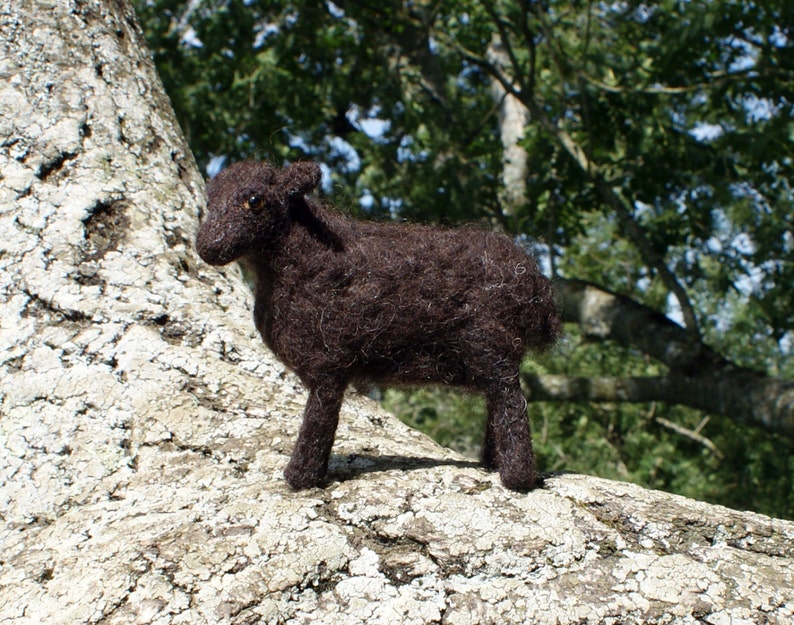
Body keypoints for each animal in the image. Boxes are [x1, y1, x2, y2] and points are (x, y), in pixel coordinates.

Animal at [195, 161, 561, 491]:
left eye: (254, 200)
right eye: (209, 201)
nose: (207, 247)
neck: (308, 260)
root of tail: (534, 281)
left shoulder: (329, 365)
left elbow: (318, 423)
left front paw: (300, 479)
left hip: (491, 346)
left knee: (511, 403)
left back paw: (517, 478)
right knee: (499, 400)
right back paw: (491, 463)